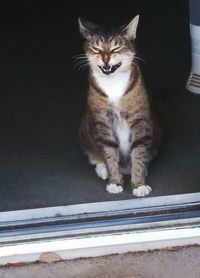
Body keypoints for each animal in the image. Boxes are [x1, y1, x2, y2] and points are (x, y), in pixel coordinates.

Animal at [77, 15, 160, 198]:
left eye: (116, 48)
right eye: (96, 49)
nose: (106, 59)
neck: (113, 83)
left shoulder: (139, 120)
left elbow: (139, 153)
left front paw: (139, 185)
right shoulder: (103, 123)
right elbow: (109, 155)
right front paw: (114, 181)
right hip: (84, 130)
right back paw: (102, 169)